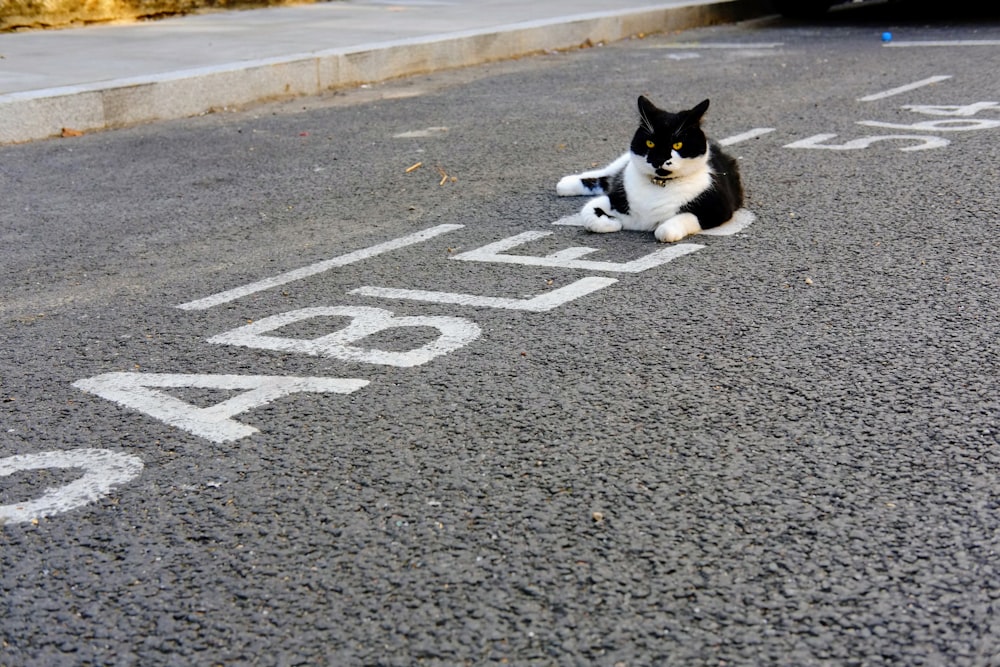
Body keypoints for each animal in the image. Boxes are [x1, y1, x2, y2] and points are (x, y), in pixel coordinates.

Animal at [560, 98, 748, 244]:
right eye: (650, 143)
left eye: (677, 145)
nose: (659, 159)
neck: (659, 185)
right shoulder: (615, 197)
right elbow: (588, 214)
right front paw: (614, 222)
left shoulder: (719, 207)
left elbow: (670, 227)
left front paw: (661, 228)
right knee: (607, 174)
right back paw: (564, 185)